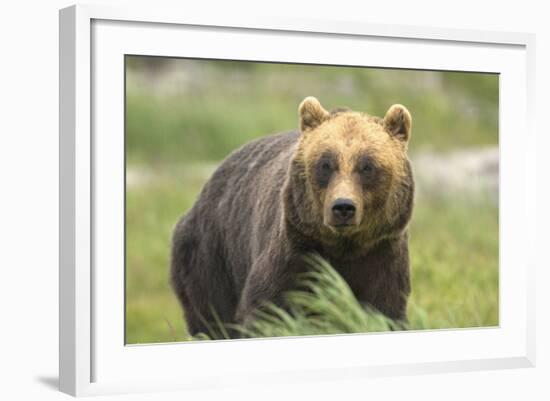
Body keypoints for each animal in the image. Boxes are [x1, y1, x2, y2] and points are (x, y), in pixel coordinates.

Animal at [170, 97, 416, 338]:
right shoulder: (296, 248)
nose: (343, 207)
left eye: (367, 166)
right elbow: (268, 307)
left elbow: (384, 310)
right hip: (212, 254)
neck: (344, 246)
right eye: (325, 164)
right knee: (212, 316)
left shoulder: (381, 253)